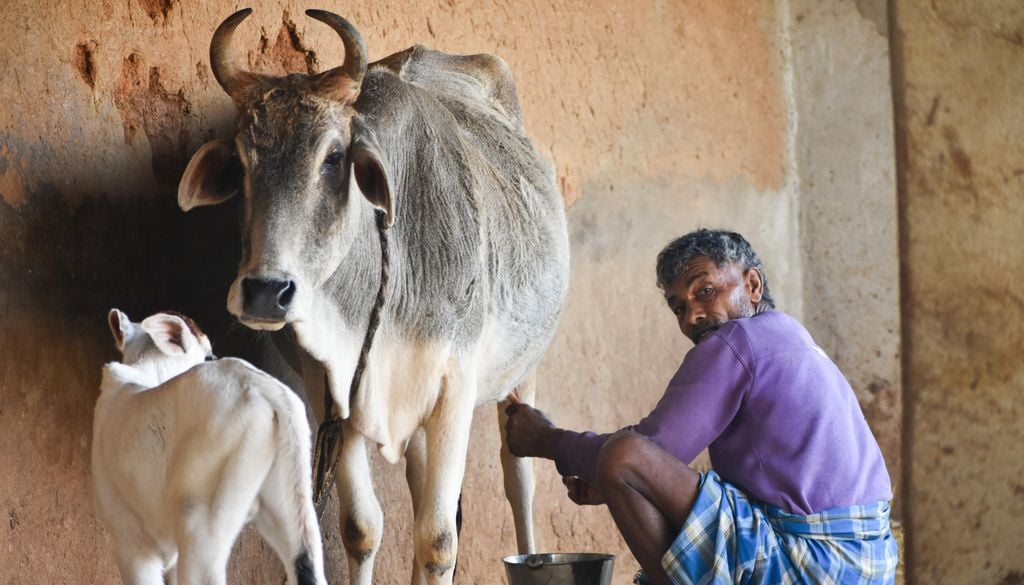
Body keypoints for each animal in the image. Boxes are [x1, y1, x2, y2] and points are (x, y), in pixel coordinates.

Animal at [177, 9, 570, 585]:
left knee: (518, 480)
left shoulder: (456, 386)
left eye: (333, 157)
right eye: (243, 164)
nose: (267, 293)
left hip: (525, 371)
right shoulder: (334, 389)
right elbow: (363, 528)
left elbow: (439, 539)